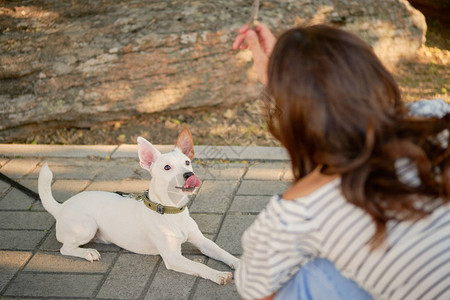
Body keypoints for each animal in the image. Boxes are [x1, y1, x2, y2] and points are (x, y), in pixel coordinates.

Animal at [38, 128, 239, 284]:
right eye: (167, 167)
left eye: (187, 162)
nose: (189, 175)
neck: (172, 211)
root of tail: (61, 207)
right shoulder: (173, 257)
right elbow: (199, 266)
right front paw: (218, 275)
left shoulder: (202, 241)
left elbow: (222, 252)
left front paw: (239, 263)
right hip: (86, 226)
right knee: (65, 248)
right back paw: (88, 253)